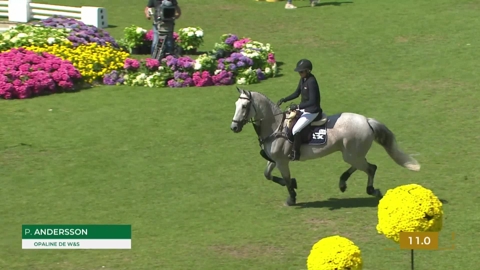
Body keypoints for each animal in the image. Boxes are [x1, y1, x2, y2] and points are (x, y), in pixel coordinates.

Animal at [229, 86, 420, 207]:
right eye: (236, 105)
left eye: (245, 106)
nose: (234, 127)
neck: (276, 126)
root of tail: (366, 121)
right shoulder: (275, 159)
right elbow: (268, 175)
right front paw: (293, 185)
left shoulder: (282, 162)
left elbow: (286, 180)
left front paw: (291, 198)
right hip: (352, 154)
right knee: (363, 166)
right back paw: (343, 182)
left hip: (351, 155)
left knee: (370, 168)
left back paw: (371, 190)